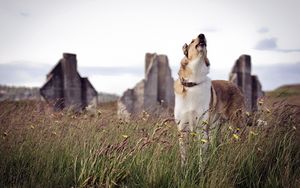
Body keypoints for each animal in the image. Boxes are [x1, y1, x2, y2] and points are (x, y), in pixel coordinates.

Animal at [175, 33, 245, 164]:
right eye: (192, 41)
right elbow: (184, 157)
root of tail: (235, 85)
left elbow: (202, 158)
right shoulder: (183, 130)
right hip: (214, 127)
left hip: (236, 122)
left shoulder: (202, 129)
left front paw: (201, 169)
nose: (202, 35)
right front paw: (184, 169)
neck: (194, 82)